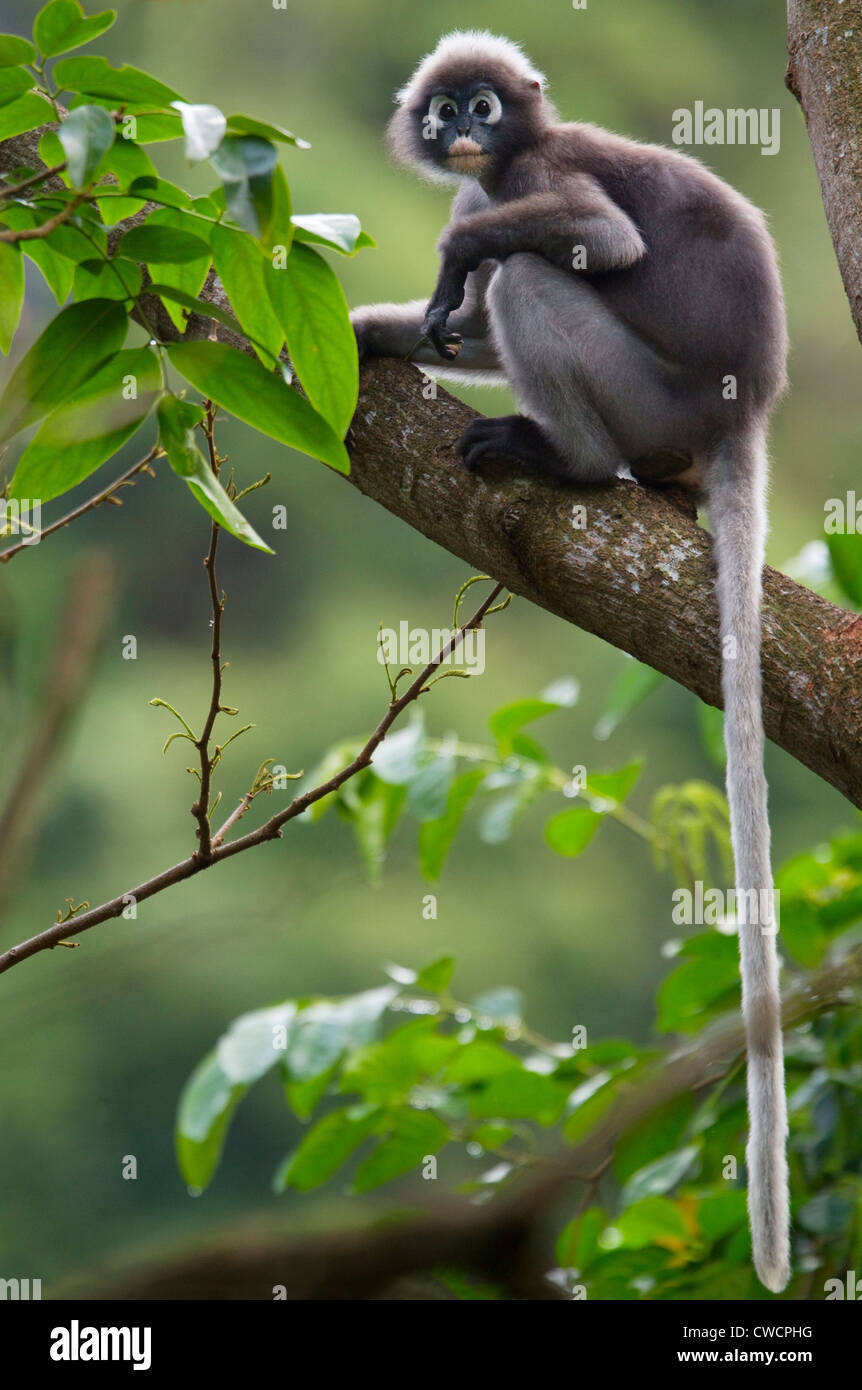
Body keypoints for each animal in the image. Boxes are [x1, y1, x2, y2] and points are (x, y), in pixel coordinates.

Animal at [348, 32, 789, 1289]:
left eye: (486, 108)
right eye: (444, 108)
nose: (461, 129)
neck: (507, 166)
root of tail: (744, 411)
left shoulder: (541, 177)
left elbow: (585, 241)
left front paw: (452, 261)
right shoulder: (485, 186)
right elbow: (457, 329)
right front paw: (368, 330)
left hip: (649, 401)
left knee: (531, 280)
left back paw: (571, 462)